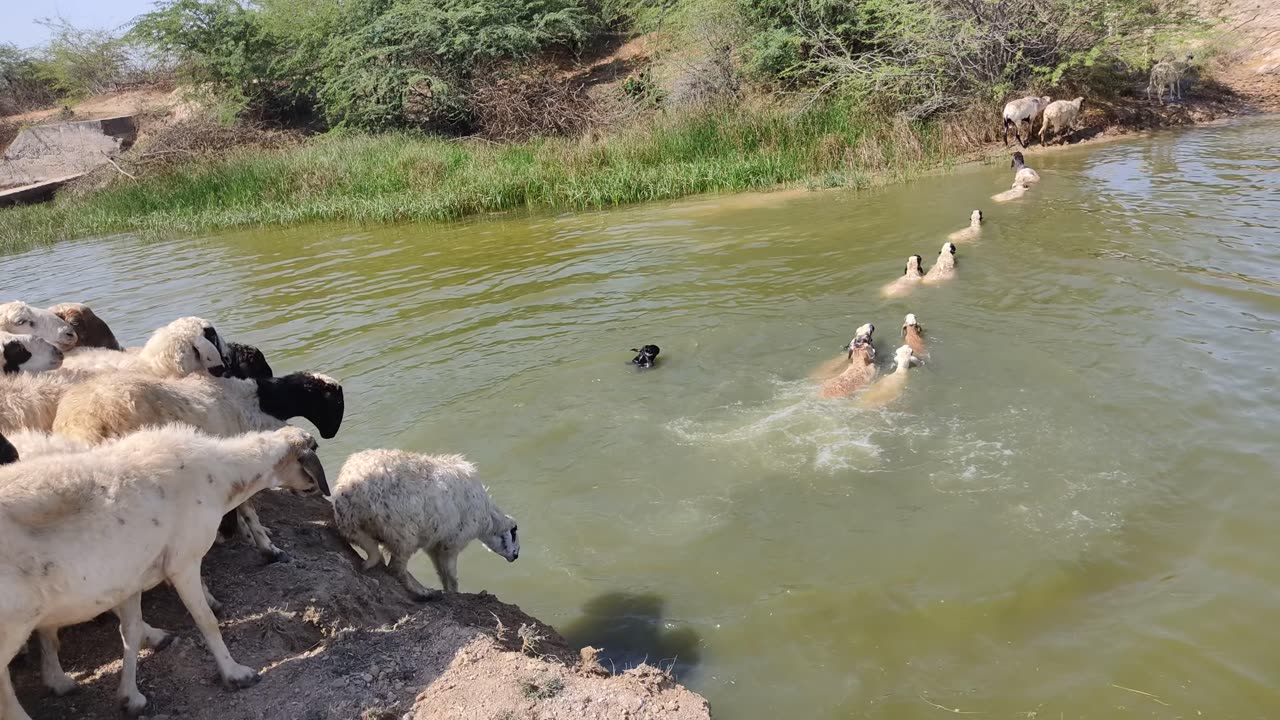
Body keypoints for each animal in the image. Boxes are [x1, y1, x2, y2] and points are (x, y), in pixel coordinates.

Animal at [0, 422, 327, 712]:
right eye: (312, 451)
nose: (313, 489)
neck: (220, 475)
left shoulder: (130, 577)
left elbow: (130, 633)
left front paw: (130, 697)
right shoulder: (183, 562)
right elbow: (206, 620)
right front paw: (235, 673)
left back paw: (61, 681)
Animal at [53, 368, 345, 561]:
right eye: (334, 402)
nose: (330, 435)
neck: (250, 401)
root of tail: (85, 428)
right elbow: (247, 509)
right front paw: (267, 547)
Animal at [330, 448, 519, 599]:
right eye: (514, 535)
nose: (515, 556)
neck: (487, 519)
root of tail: (348, 495)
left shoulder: (435, 544)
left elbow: (442, 573)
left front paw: (448, 590)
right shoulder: (452, 543)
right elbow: (451, 574)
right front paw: (455, 593)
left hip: (360, 530)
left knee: (381, 558)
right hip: (403, 534)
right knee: (396, 569)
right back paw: (423, 593)